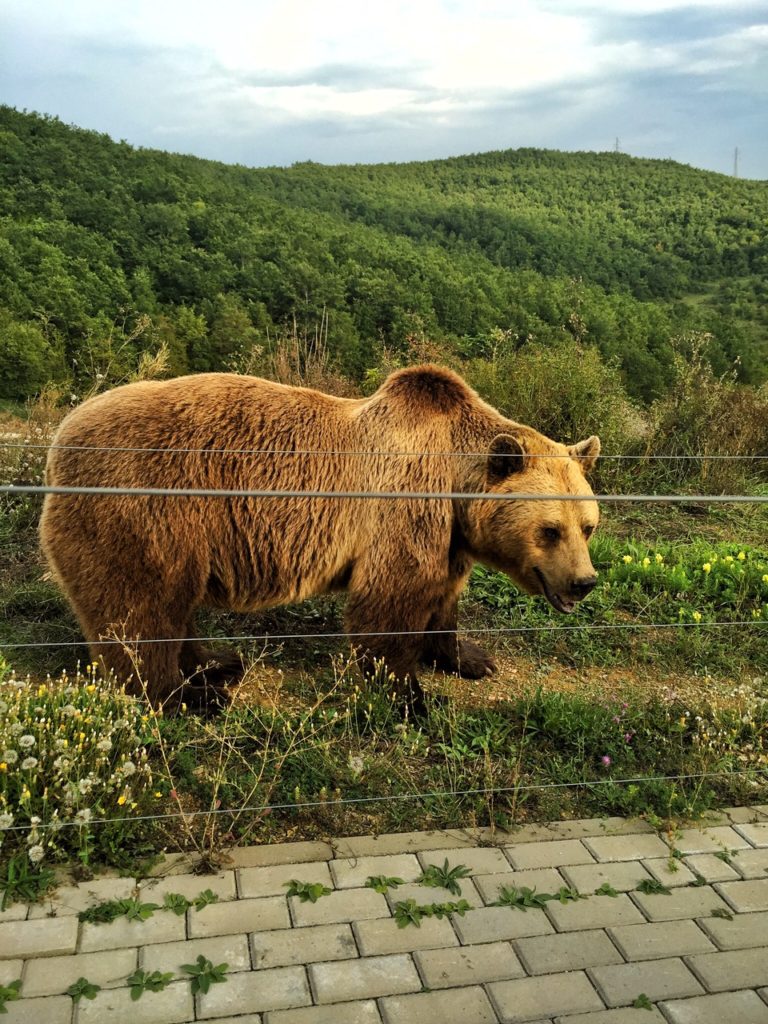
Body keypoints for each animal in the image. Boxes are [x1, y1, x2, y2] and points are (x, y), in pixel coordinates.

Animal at [39, 368, 602, 712]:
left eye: (588, 525)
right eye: (550, 529)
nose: (583, 582)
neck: (454, 484)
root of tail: (59, 440)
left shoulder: (449, 537)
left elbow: (442, 598)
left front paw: (469, 660)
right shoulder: (404, 506)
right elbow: (390, 605)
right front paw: (412, 696)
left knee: (171, 606)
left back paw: (215, 664)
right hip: (143, 508)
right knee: (139, 610)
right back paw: (188, 695)